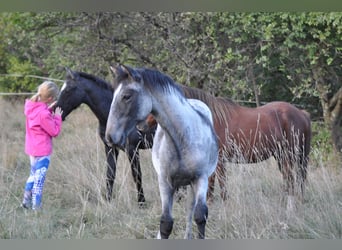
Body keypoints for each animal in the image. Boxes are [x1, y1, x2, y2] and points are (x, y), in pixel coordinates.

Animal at [140, 85, 312, 206]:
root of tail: (301, 113)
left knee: (293, 179)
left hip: (290, 155)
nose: (141, 126)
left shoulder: (219, 161)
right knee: (290, 179)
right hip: (281, 156)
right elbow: (214, 184)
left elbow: (218, 184)